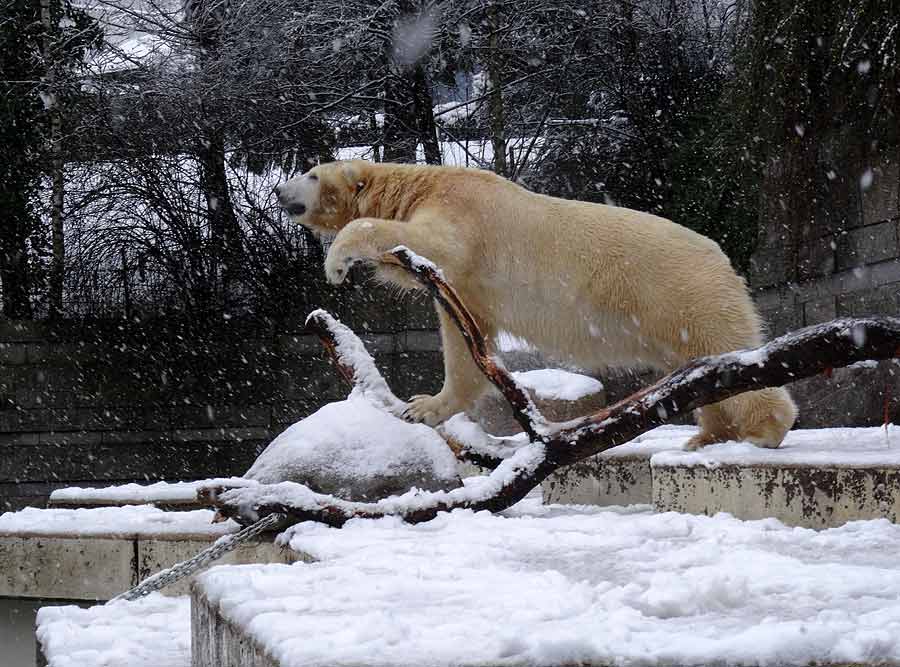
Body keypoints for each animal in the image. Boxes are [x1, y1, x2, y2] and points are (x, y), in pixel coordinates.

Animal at [274, 160, 796, 448]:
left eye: (312, 173)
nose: (279, 189)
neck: (423, 182)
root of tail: (724, 260)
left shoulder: (463, 216)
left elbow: (433, 243)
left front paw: (337, 262)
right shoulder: (468, 289)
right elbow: (464, 337)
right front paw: (426, 407)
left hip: (684, 293)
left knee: (727, 352)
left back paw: (763, 430)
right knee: (697, 368)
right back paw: (705, 435)